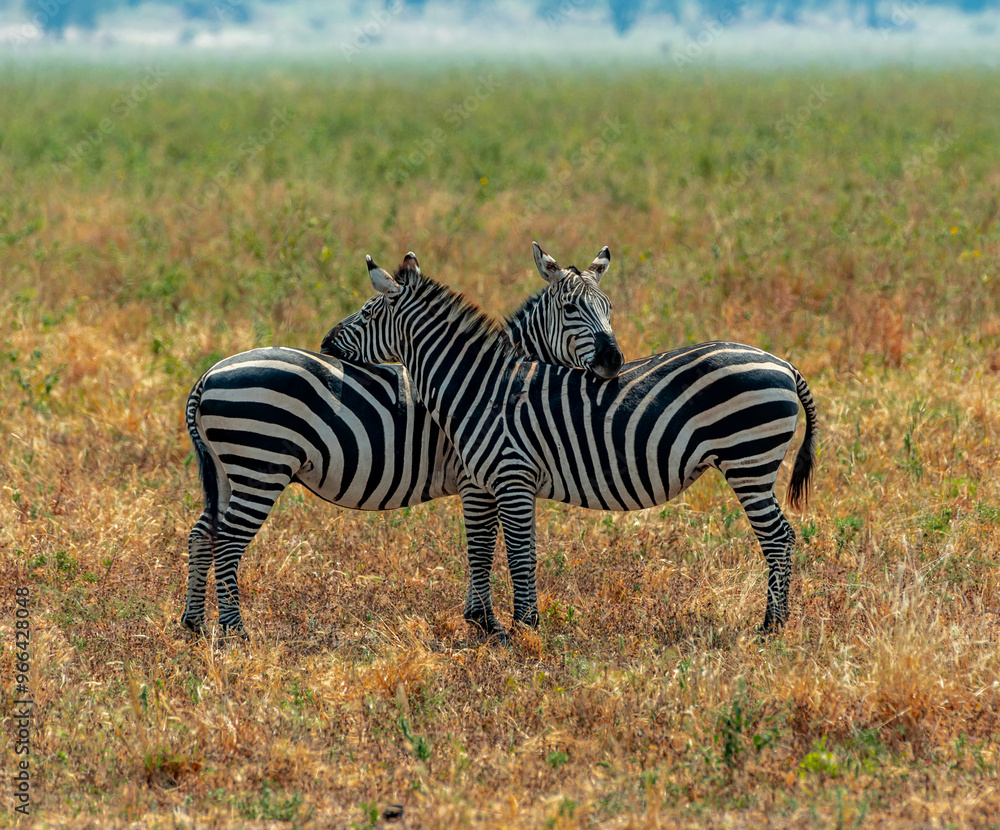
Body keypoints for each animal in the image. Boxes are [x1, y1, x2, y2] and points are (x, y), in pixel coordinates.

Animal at [181, 243, 623, 635]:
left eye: (609, 308)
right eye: (570, 310)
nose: (613, 361)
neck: (490, 381)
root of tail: (208, 376)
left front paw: (480, 620)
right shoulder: (477, 479)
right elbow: (483, 545)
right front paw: (485, 623)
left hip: (230, 471)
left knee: (204, 533)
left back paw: (195, 625)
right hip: (260, 465)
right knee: (228, 540)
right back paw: (235, 632)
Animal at [322, 253, 818, 638]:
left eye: (366, 314)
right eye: (570, 308)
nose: (325, 342)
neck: (477, 387)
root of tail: (782, 362)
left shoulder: (508, 477)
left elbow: (515, 553)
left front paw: (523, 629)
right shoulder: (494, 483)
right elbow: (497, 548)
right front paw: (498, 625)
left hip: (748, 461)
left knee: (778, 537)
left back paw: (771, 627)